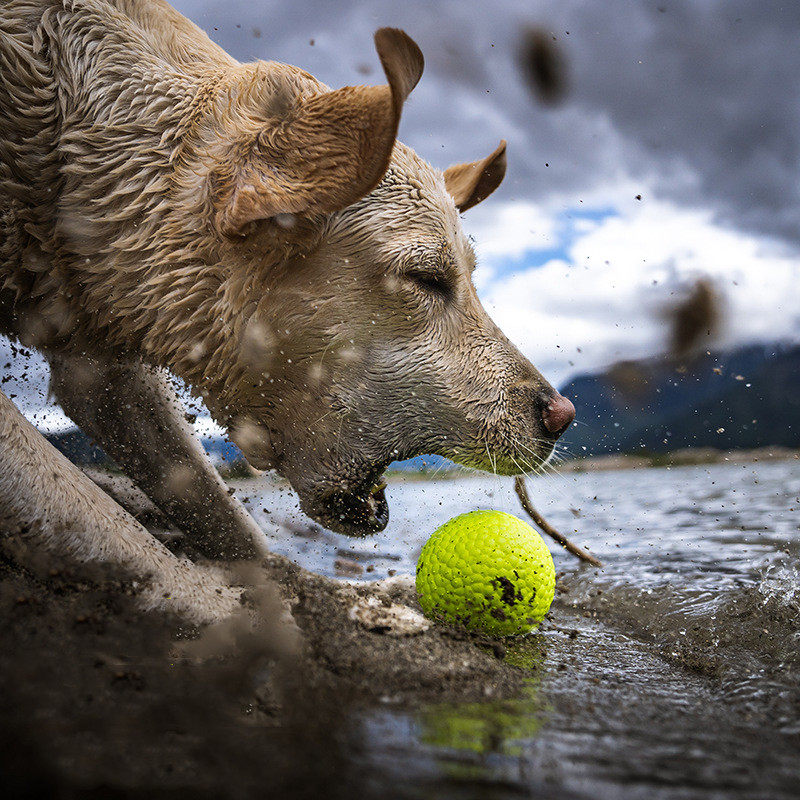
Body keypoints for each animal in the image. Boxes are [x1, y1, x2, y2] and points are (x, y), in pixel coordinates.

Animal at [1, 0, 576, 624]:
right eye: (426, 279)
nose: (561, 415)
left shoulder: (103, 366)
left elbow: (223, 515)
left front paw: (334, 592)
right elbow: (121, 535)